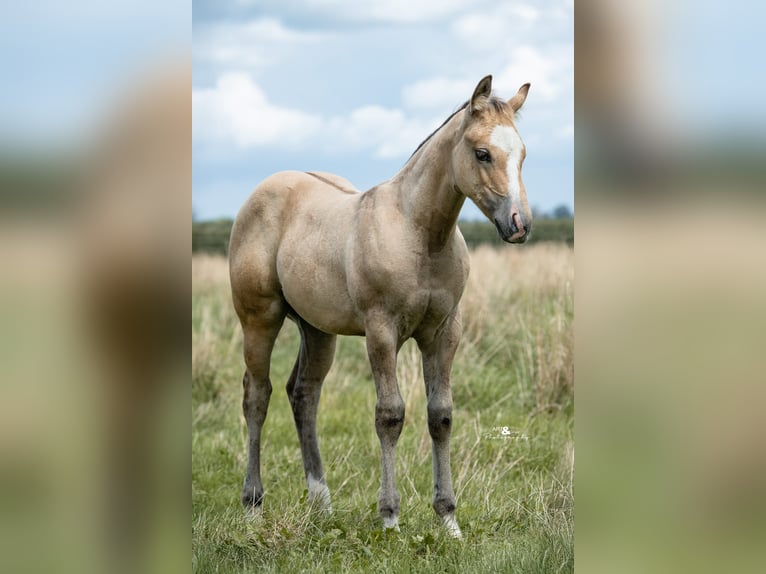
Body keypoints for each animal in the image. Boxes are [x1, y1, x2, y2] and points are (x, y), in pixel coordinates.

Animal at [228, 75, 532, 538]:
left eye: (523, 154)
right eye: (482, 153)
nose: (519, 224)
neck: (419, 233)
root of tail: (260, 193)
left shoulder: (445, 331)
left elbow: (440, 415)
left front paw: (449, 520)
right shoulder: (382, 331)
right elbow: (390, 415)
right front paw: (390, 517)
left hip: (318, 329)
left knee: (304, 394)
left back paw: (321, 502)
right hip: (259, 318)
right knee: (257, 396)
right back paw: (253, 505)